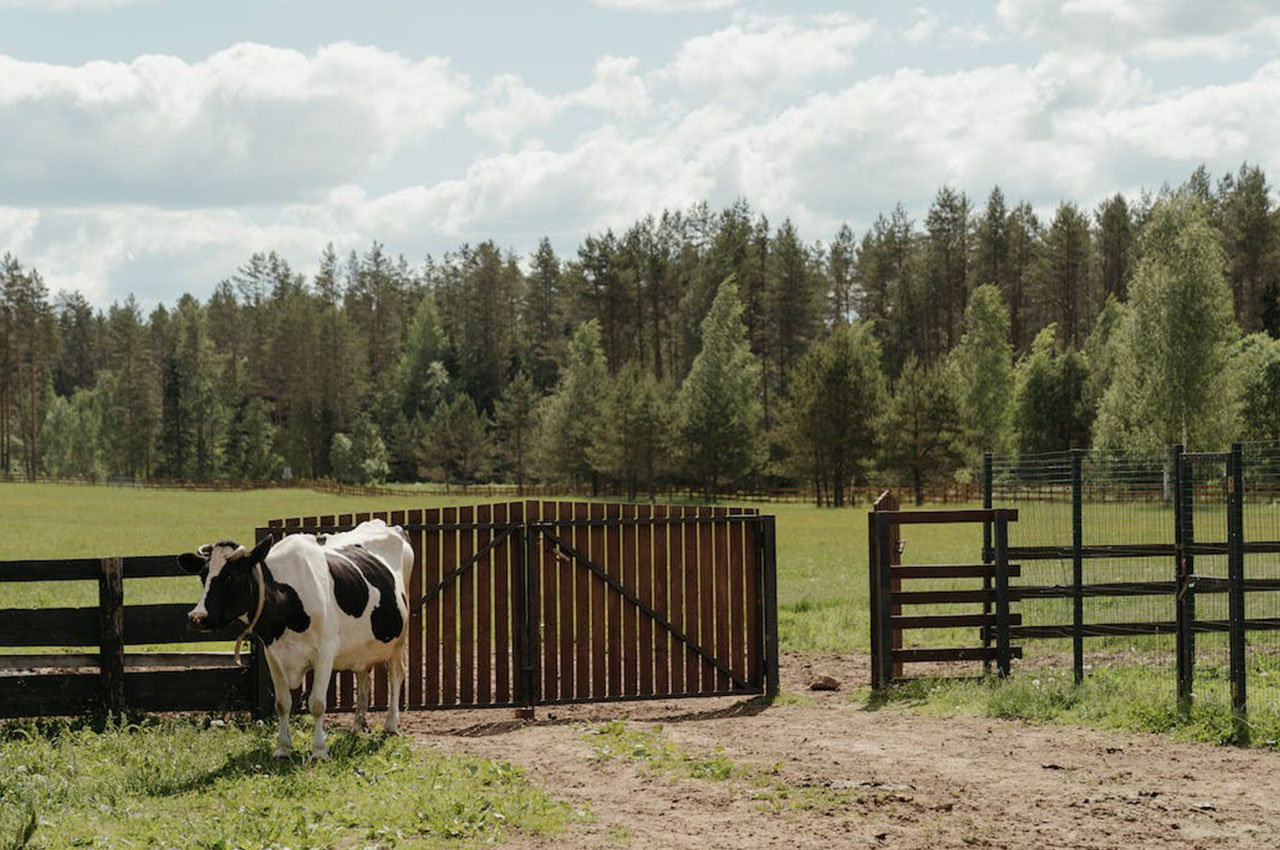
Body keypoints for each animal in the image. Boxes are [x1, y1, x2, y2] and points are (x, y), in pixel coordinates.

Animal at [177, 517, 409, 757]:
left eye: (229, 576)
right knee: (364, 675)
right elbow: (282, 703)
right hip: (362, 646)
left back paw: (390, 724)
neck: (286, 605)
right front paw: (282, 748)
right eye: (203, 576)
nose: (197, 617)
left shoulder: (325, 651)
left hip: (399, 639)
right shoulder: (273, 654)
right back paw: (357, 726)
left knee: (396, 674)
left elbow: (317, 703)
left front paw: (319, 750)